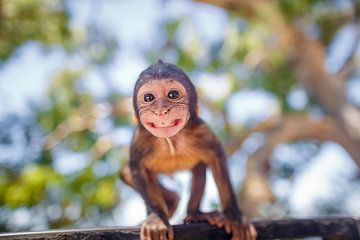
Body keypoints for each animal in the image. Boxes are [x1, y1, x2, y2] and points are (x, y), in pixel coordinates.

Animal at [120, 60, 256, 240]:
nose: (161, 111)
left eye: (173, 95)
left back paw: (195, 213)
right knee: (127, 171)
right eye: (148, 98)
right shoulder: (139, 140)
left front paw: (234, 216)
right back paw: (171, 200)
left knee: (199, 169)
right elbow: (137, 167)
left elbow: (217, 158)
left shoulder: (201, 130)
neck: (171, 141)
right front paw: (157, 218)